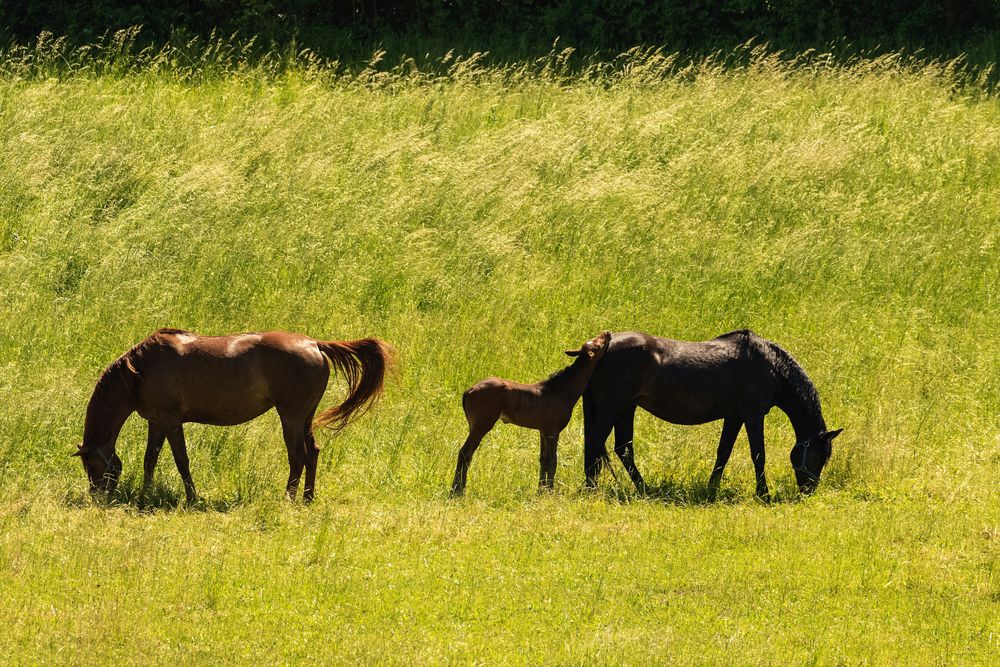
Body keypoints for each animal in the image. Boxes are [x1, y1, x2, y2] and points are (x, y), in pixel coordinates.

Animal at [74, 328, 392, 500]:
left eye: (91, 466)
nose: (97, 496)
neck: (140, 370)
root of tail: (315, 344)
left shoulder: (171, 422)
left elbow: (181, 461)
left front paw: (192, 498)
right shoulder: (156, 423)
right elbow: (149, 460)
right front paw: (145, 494)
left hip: (290, 416)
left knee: (298, 456)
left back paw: (288, 498)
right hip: (305, 418)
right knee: (312, 452)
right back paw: (307, 498)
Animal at [452, 332, 608, 496]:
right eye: (599, 344)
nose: (607, 333)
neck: (561, 391)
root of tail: (468, 391)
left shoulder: (543, 431)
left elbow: (543, 459)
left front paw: (541, 489)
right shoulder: (552, 431)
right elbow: (552, 459)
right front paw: (550, 490)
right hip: (481, 426)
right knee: (465, 452)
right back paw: (457, 491)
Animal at [584, 332, 840, 498]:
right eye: (817, 456)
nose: (808, 490)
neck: (771, 366)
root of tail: (602, 348)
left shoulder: (735, 417)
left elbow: (723, 453)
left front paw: (711, 490)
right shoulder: (753, 415)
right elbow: (758, 455)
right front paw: (763, 494)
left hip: (626, 408)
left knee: (622, 449)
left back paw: (643, 489)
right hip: (612, 408)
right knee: (596, 444)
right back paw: (591, 488)